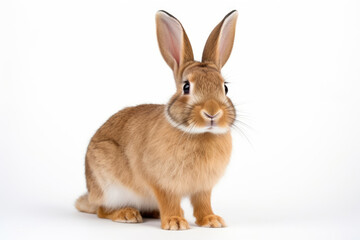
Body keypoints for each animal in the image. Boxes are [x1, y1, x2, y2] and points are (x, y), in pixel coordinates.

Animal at [75, 9, 239, 231]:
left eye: (225, 87)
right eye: (186, 87)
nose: (212, 112)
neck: (200, 133)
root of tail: (91, 194)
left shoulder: (203, 187)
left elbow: (203, 203)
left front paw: (212, 220)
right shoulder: (162, 183)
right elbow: (168, 200)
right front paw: (175, 223)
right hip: (109, 184)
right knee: (102, 210)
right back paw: (127, 214)